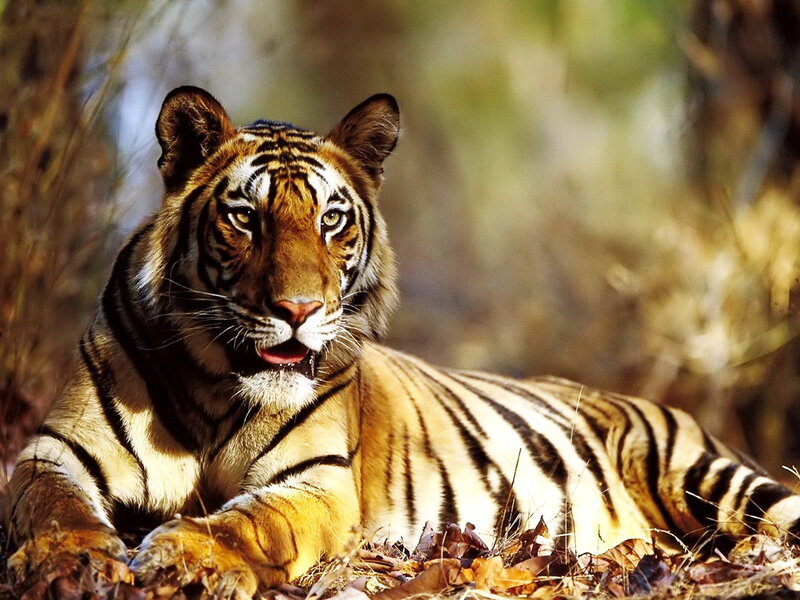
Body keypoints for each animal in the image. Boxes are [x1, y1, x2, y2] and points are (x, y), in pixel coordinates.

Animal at [6, 86, 800, 599]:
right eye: (246, 218)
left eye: (330, 219)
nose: (299, 310)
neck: (214, 382)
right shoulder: (55, 449)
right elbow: (53, 505)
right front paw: (70, 560)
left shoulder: (316, 481)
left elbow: (249, 522)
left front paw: (182, 553)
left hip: (703, 475)